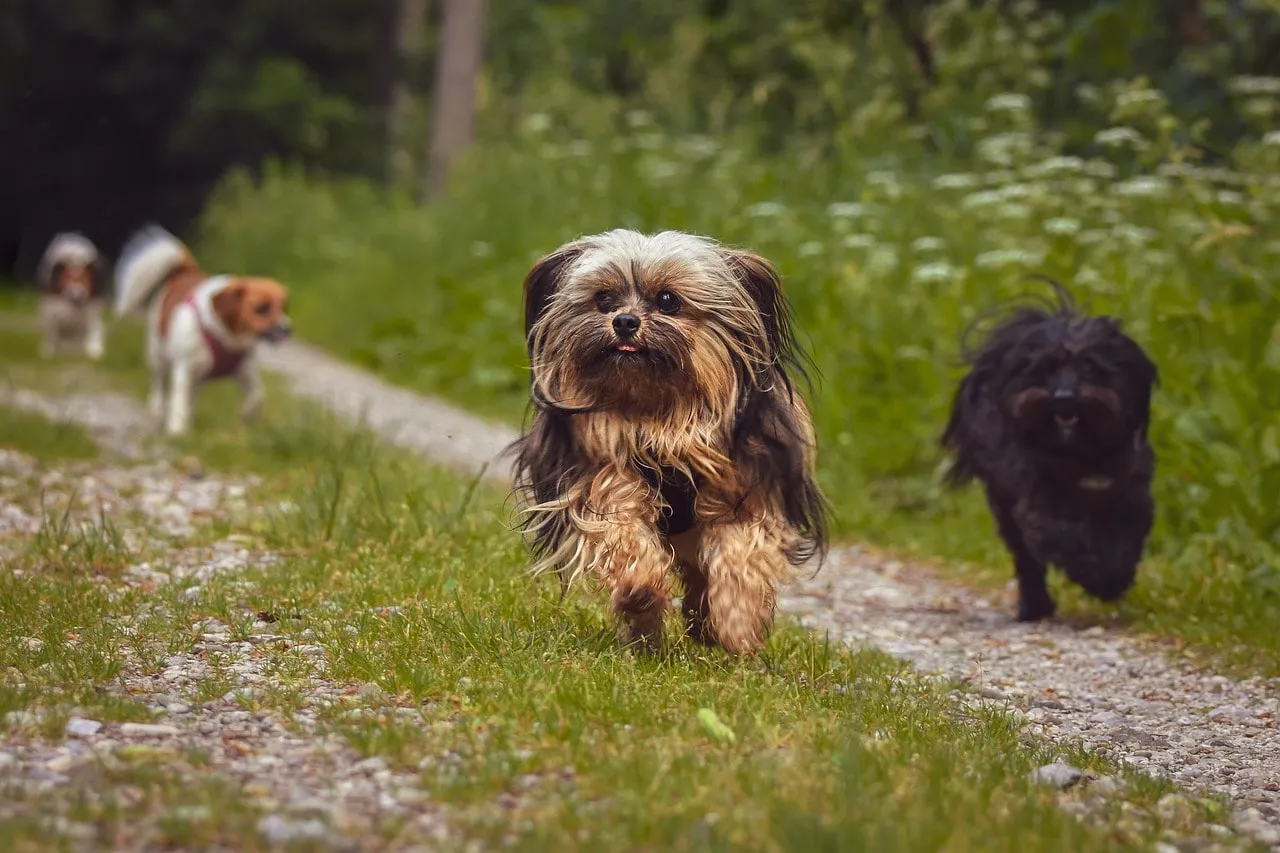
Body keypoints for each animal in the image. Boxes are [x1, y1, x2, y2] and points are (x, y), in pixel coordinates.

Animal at [115, 225, 293, 435]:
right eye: (262, 308)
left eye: (283, 307)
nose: (287, 328)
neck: (227, 336)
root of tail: (185, 270)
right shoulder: (184, 369)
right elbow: (179, 401)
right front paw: (177, 429)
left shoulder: (243, 371)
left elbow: (258, 395)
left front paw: (247, 414)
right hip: (157, 354)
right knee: (158, 381)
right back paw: (157, 407)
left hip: (199, 376)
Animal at [942, 279, 1162, 617]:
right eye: (1044, 368)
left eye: (1090, 366)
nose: (1063, 397)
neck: (1082, 453)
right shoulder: (1039, 502)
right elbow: (1067, 537)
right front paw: (1098, 578)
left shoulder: (1131, 494)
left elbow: (1124, 538)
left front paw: (1114, 579)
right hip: (1005, 503)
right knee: (1026, 559)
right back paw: (1035, 606)